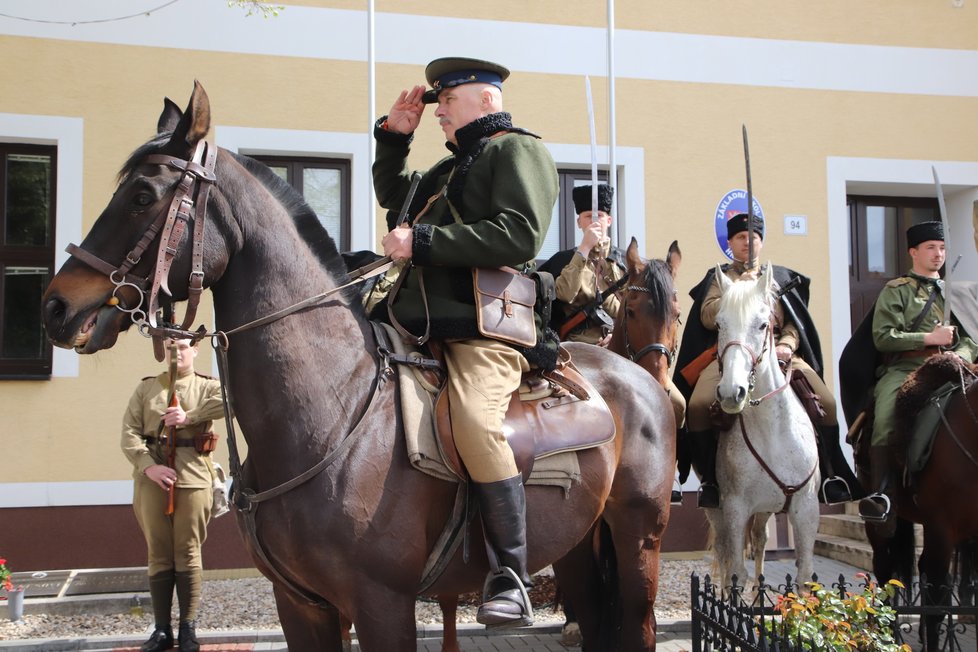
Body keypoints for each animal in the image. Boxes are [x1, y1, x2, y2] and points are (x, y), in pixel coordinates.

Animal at [42, 83, 676, 652]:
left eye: (143, 195)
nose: (56, 307)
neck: (331, 410)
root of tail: (642, 381)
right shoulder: (301, 607)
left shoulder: (380, 604)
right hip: (578, 548)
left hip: (637, 540)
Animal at [704, 264, 820, 592]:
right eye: (719, 325)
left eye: (763, 325)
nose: (732, 392)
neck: (773, 435)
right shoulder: (734, 509)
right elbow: (735, 573)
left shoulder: (807, 510)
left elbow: (805, 576)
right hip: (720, 512)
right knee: (727, 554)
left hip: (766, 509)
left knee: (760, 540)